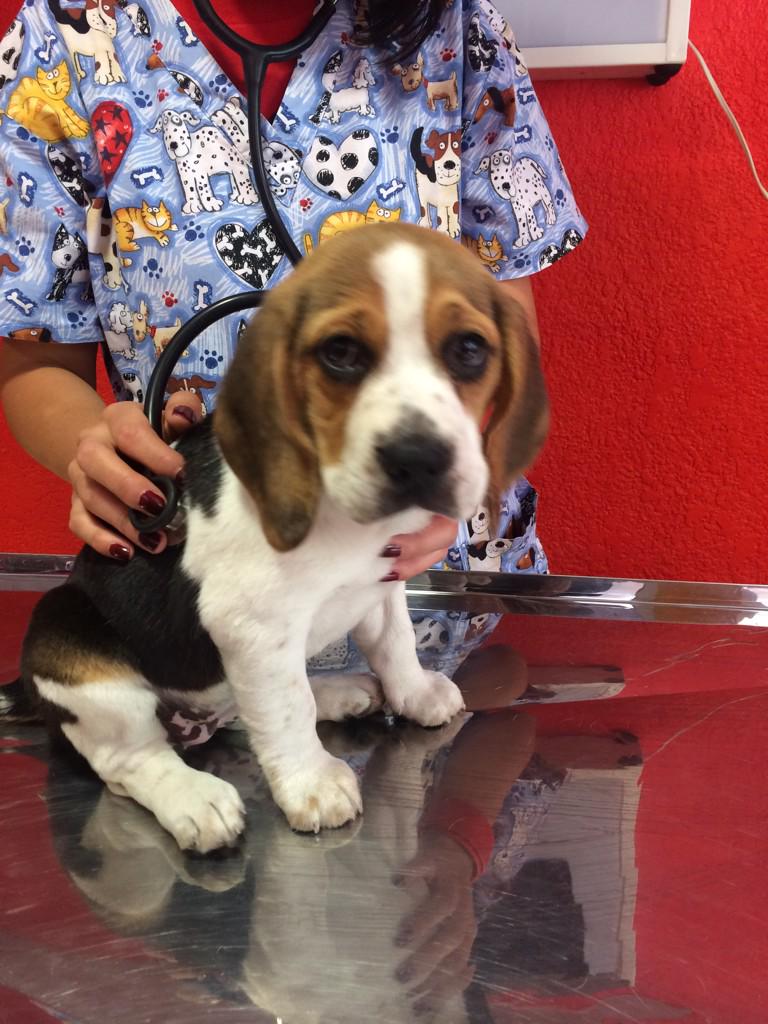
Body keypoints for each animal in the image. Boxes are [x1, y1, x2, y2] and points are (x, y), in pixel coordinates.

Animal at [20, 223, 548, 853]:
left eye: (469, 349)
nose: (418, 457)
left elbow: (395, 644)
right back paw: (194, 799)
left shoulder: (381, 581)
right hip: (74, 650)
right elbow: (288, 706)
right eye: (340, 353)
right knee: (133, 759)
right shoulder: (252, 628)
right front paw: (311, 786)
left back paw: (341, 693)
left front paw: (415, 692)